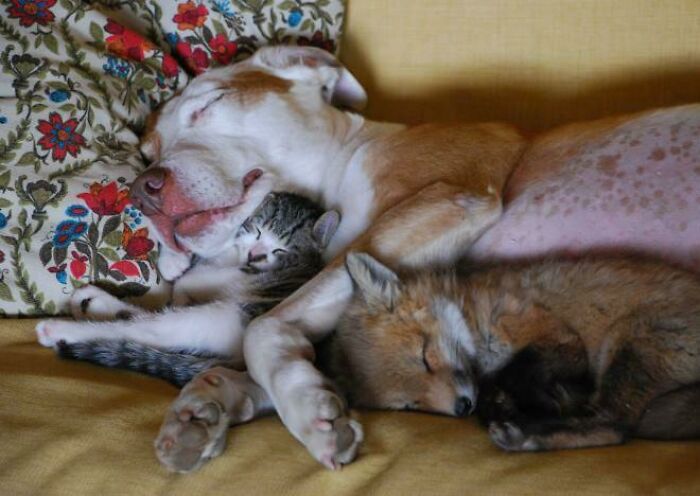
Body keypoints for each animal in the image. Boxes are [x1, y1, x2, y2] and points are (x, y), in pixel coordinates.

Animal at [326, 253, 700, 451]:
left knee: (614, 425)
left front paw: (516, 402)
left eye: (424, 357)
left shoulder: (560, 338)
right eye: (410, 406)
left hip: (628, 344)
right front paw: (518, 402)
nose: (462, 408)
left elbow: (511, 374)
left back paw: (525, 436)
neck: (473, 312)